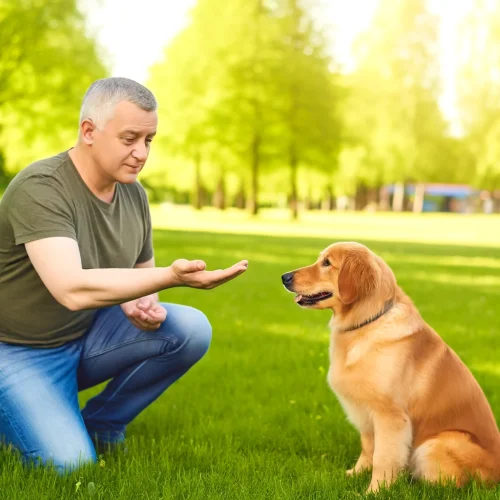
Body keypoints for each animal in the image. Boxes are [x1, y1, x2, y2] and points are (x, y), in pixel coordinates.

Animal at [282, 241, 500, 492]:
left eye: (327, 263)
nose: (284, 277)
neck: (366, 323)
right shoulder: (365, 412)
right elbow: (368, 448)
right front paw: (356, 474)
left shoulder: (390, 416)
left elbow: (384, 457)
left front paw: (375, 490)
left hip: (436, 443)